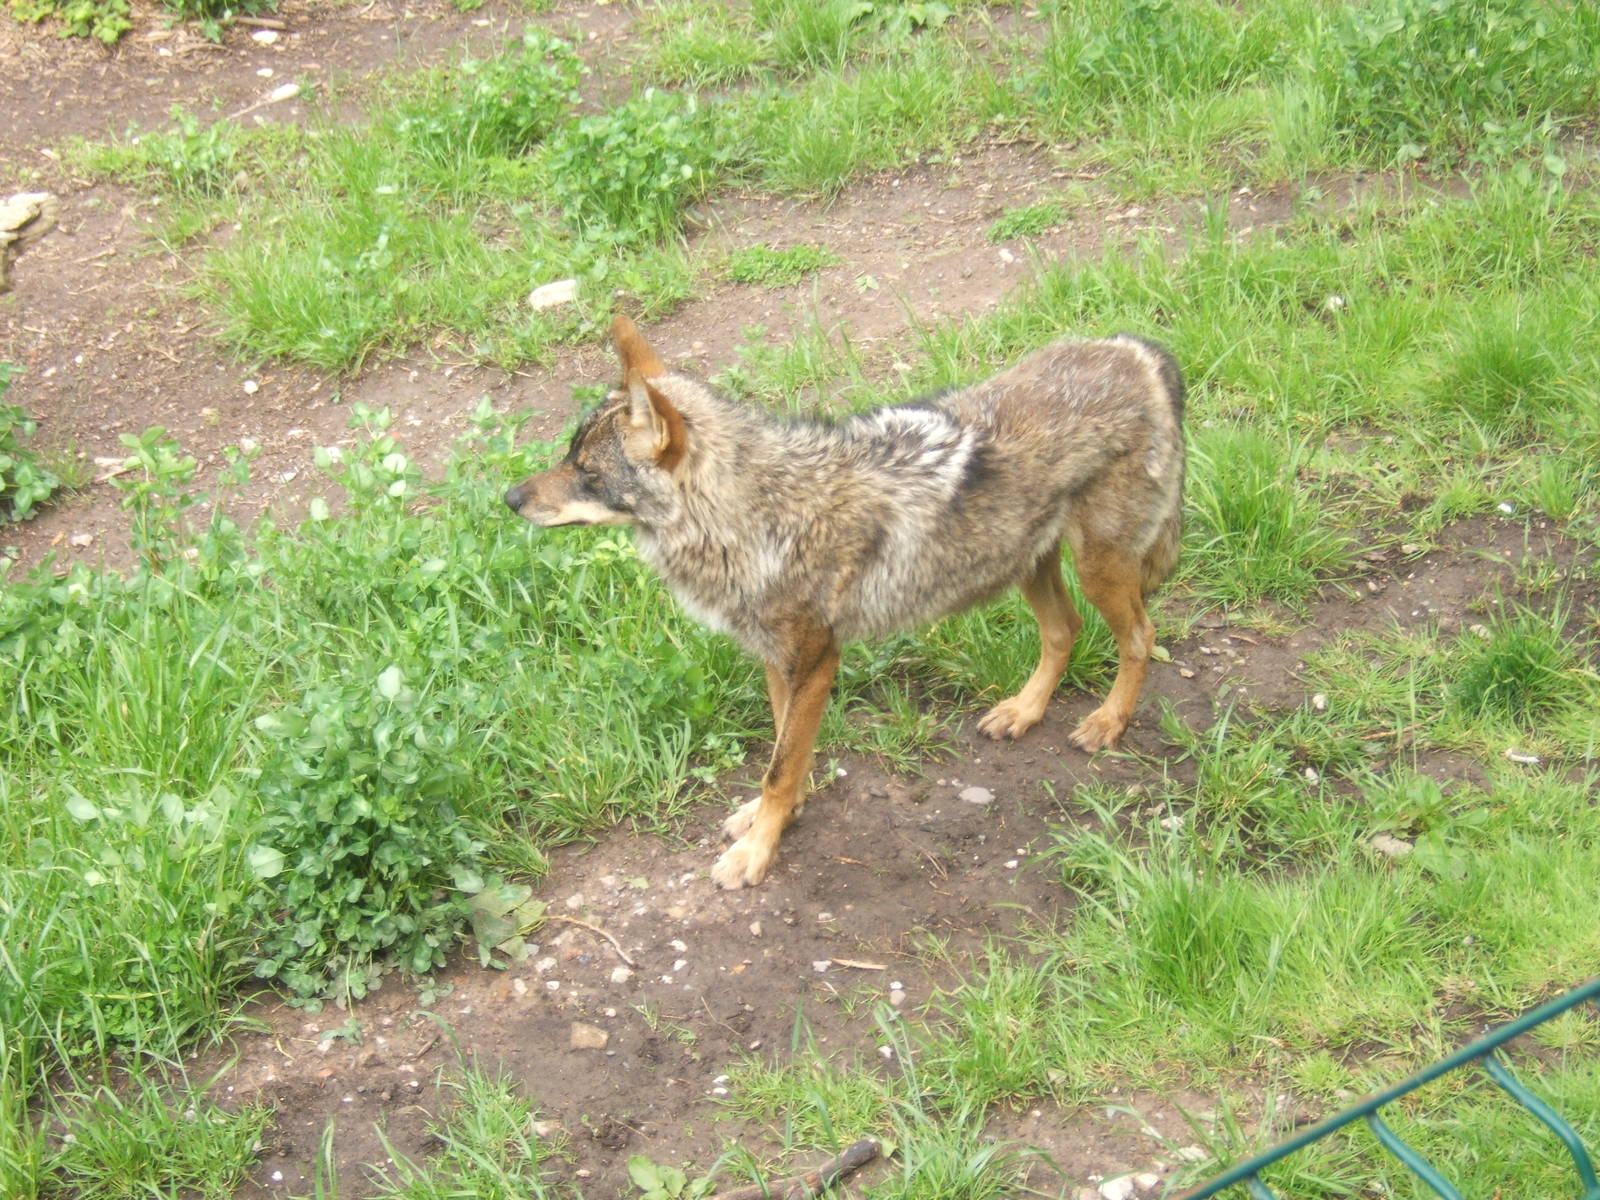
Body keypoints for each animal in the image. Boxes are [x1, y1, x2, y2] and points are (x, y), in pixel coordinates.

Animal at [505, 315, 1185, 889]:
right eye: (568, 456)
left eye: (589, 474)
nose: (509, 498)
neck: (753, 520)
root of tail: (1138, 349)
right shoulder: (776, 659)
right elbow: (786, 751)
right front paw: (774, 818)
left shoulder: (817, 660)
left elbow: (779, 766)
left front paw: (756, 853)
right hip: (1026, 565)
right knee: (1064, 630)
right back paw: (1023, 710)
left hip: (1097, 569)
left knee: (1140, 638)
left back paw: (1108, 722)